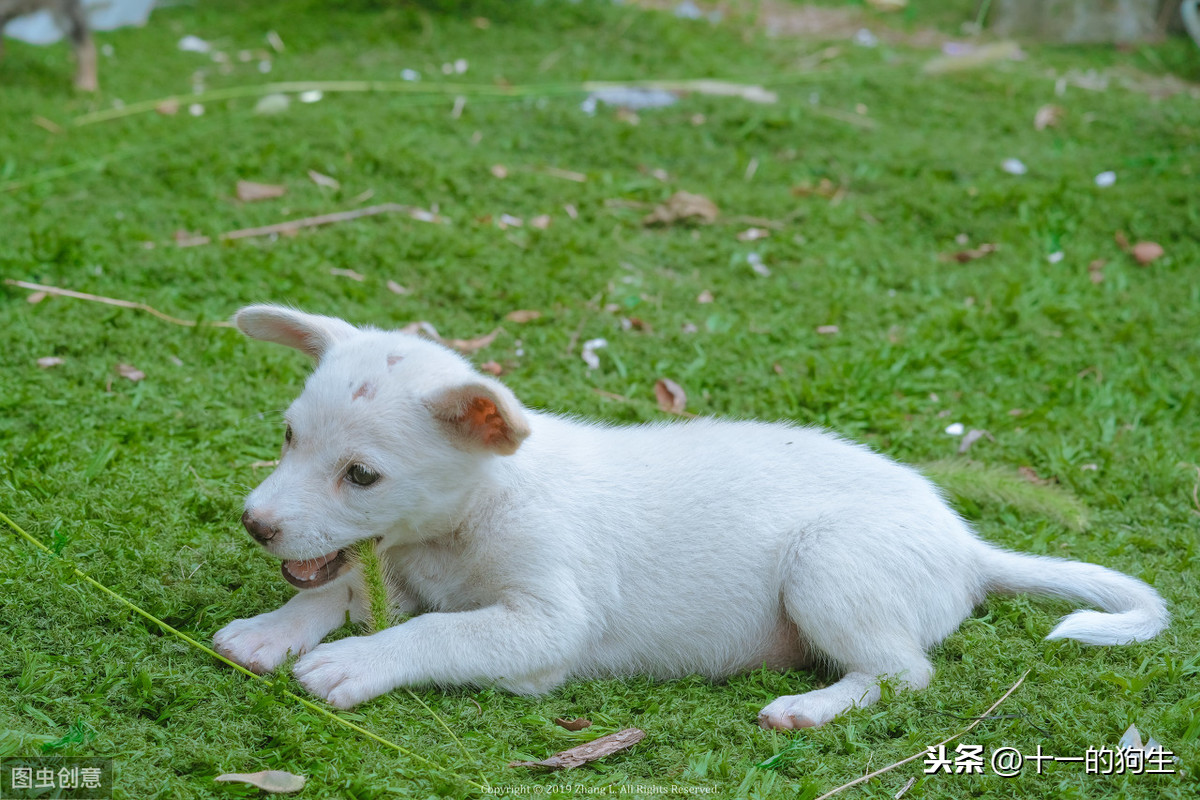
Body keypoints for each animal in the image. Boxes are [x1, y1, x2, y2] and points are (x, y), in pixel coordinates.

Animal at [211, 309, 1166, 734]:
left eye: (361, 475)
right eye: (289, 438)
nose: (257, 525)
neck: (475, 510)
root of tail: (966, 547)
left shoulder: (545, 628)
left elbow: (436, 634)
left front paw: (355, 664)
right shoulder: (402, 572)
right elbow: (337, 593)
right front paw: (272, 629)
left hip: (831, 565)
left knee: (904, 674)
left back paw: (811, 706)